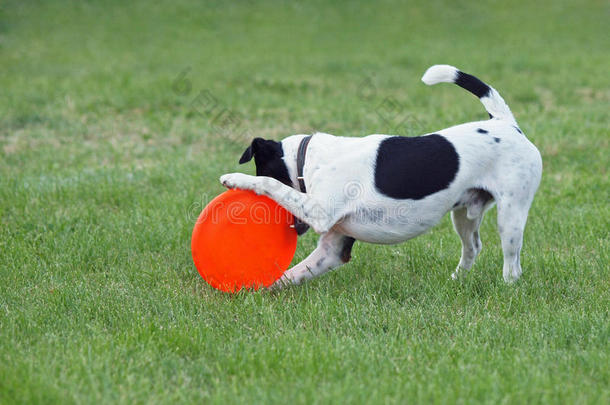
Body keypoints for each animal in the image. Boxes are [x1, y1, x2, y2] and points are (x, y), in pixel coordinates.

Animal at [220, 64, 540, 288]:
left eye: (259, 169)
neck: (308, 158)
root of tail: (506, 124)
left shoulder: (319, 212)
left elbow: (270, 184)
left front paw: (235, 178)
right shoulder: (333, 248)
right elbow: (290, 275)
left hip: (510, 217)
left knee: (512, 264)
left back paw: (507, 288)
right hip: (464, 214)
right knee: (473, 247)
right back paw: (456, 281)